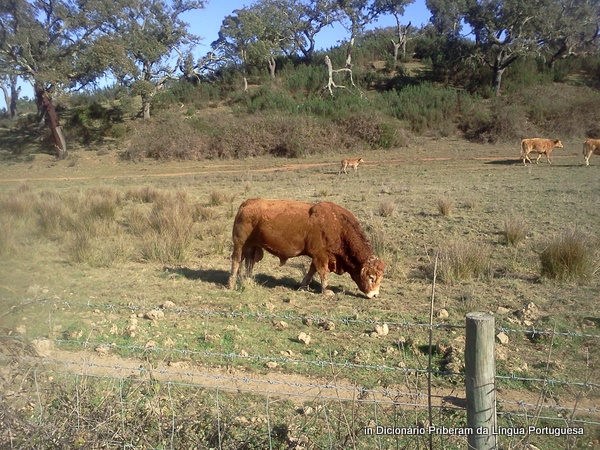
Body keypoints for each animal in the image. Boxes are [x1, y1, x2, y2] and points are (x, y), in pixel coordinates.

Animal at [227, 198, 386, 298]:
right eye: (371, 277)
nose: (375, 295)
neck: (338, 225)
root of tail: (246, 204)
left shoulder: (318, 256)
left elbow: (312, 270)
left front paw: (303, 286)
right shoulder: (320, 255)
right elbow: (322, 272)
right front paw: (326, 291)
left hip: (253, 246)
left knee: (249, 262)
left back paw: (248, 279)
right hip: (240, 244)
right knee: (236, 260)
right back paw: (231, 283)